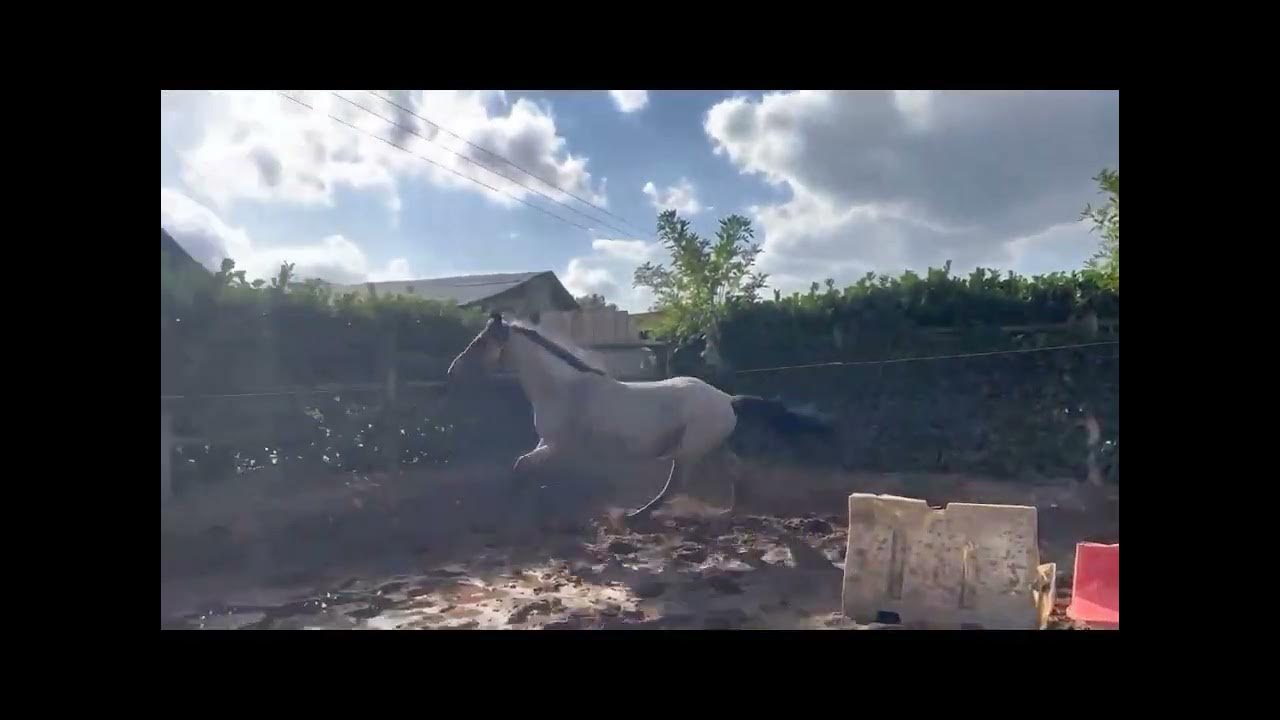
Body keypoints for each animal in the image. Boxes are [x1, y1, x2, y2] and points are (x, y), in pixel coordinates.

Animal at [447, 312, 833, 518]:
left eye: (481, 342)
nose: (453, 371)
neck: (563, 388)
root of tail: (726, 399)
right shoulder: (548, 443)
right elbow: (525, 467)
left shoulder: (557, 445)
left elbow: (523, 466)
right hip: (712, 445)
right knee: (736, 470)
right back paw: (732, 510)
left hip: (689, 449)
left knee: (678, 483)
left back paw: (638, 516)